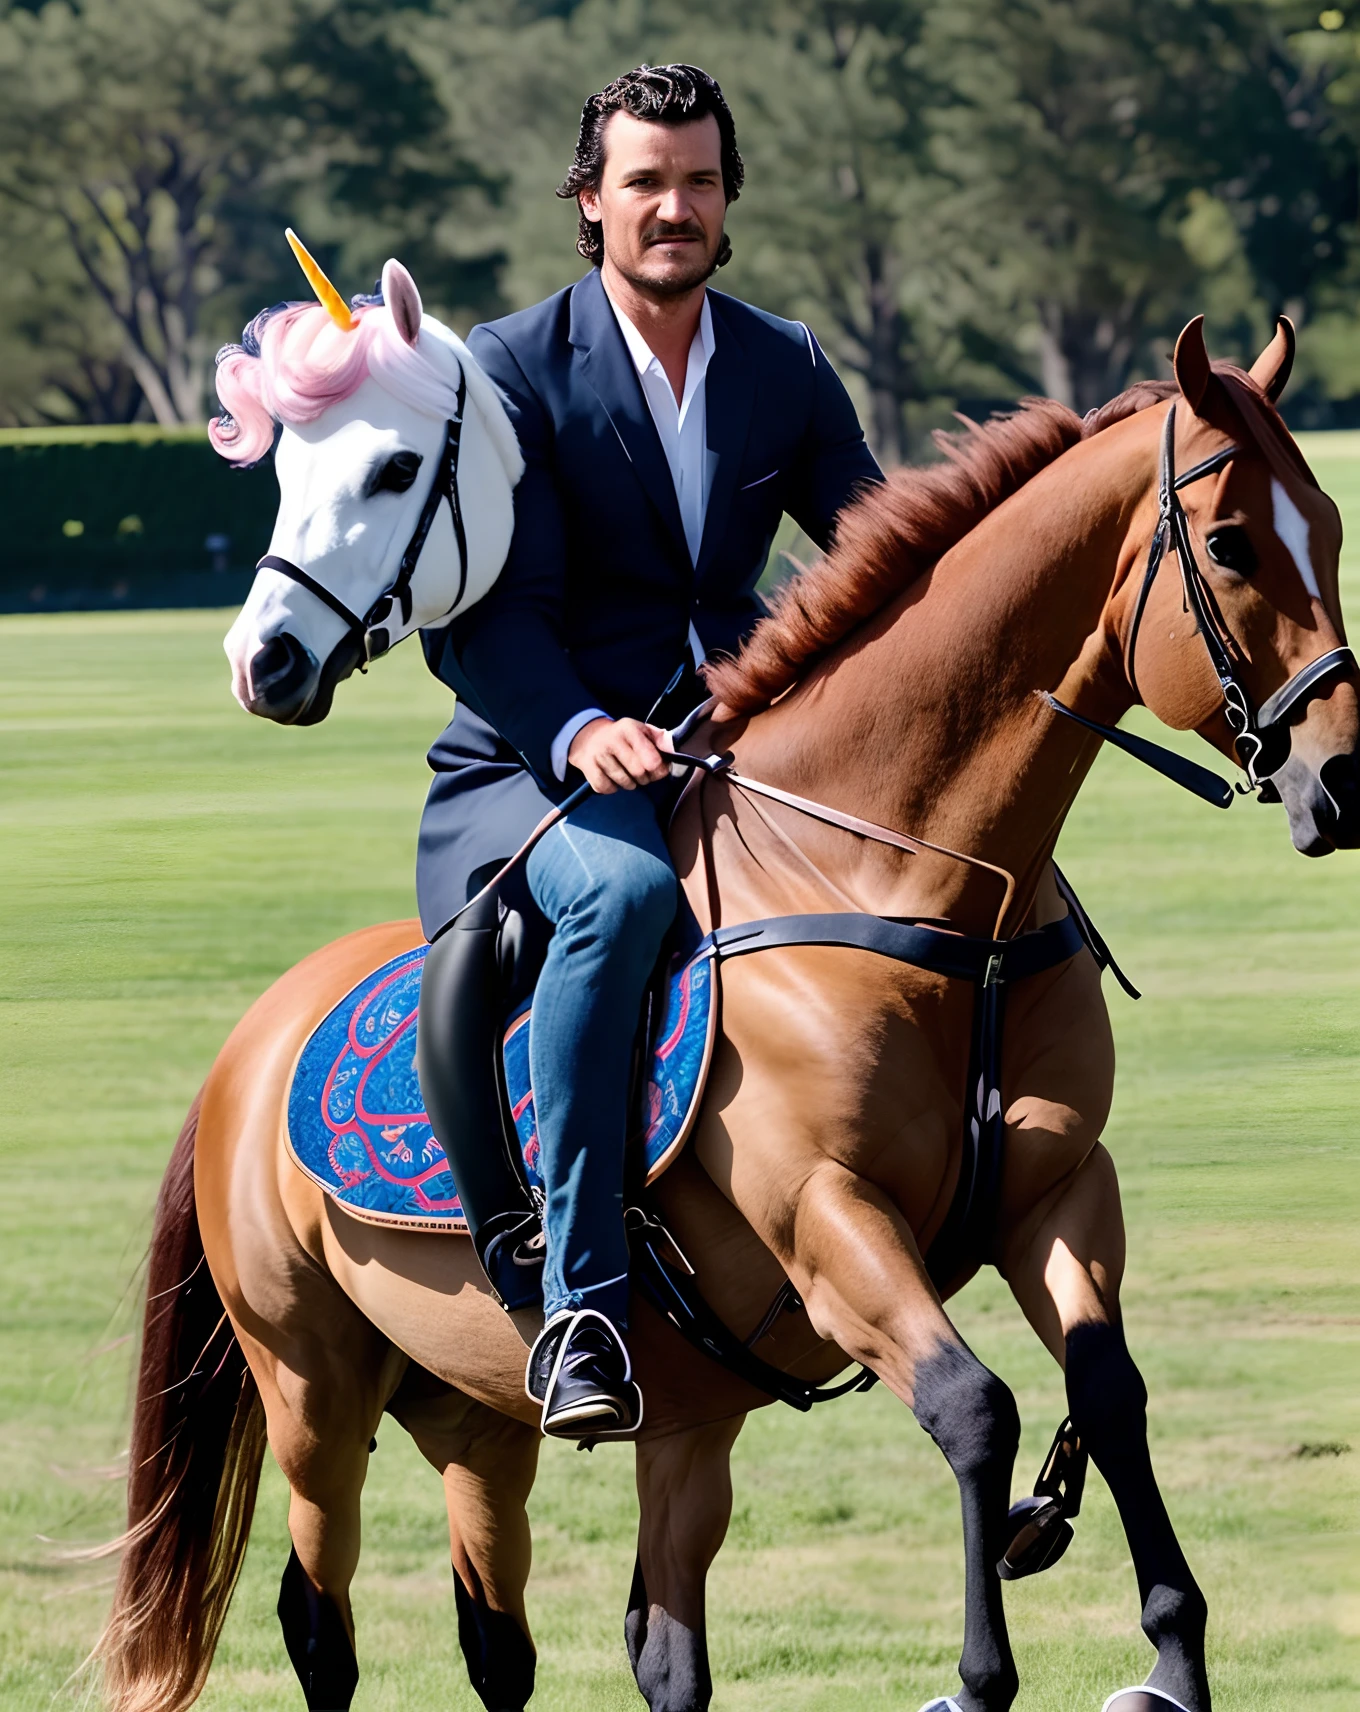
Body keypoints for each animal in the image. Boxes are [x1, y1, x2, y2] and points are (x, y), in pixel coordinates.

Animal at [103, 321, 1356, 1712]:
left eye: (1328, 527)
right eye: (1233, 545)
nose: (1342, 776)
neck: (913, 884)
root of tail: (246, 1046)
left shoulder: (1058, 1190)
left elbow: (1110, 1389)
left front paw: (1172, 1655)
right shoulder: (826, 1213)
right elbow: (973, 1407)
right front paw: (978, 1676)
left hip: (536, 1417)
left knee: (570, 1638)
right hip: (313, 1390)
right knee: (320, 1614)